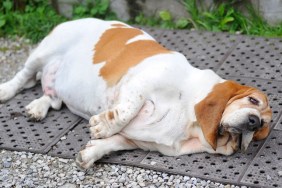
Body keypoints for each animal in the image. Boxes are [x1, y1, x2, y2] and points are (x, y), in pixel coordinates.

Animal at [0, 18, 274, 169]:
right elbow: (125, 112)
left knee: (51, 97)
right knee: (23, 77)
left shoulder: (138, 141)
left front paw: (90, 153)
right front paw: (101, 126)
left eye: (262, 127)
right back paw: (6, 90)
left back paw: (37, 108)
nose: (254, 121)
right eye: (252, 100)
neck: (189, 121)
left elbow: (113, 143)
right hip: (42, 53)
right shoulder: (139, 84)